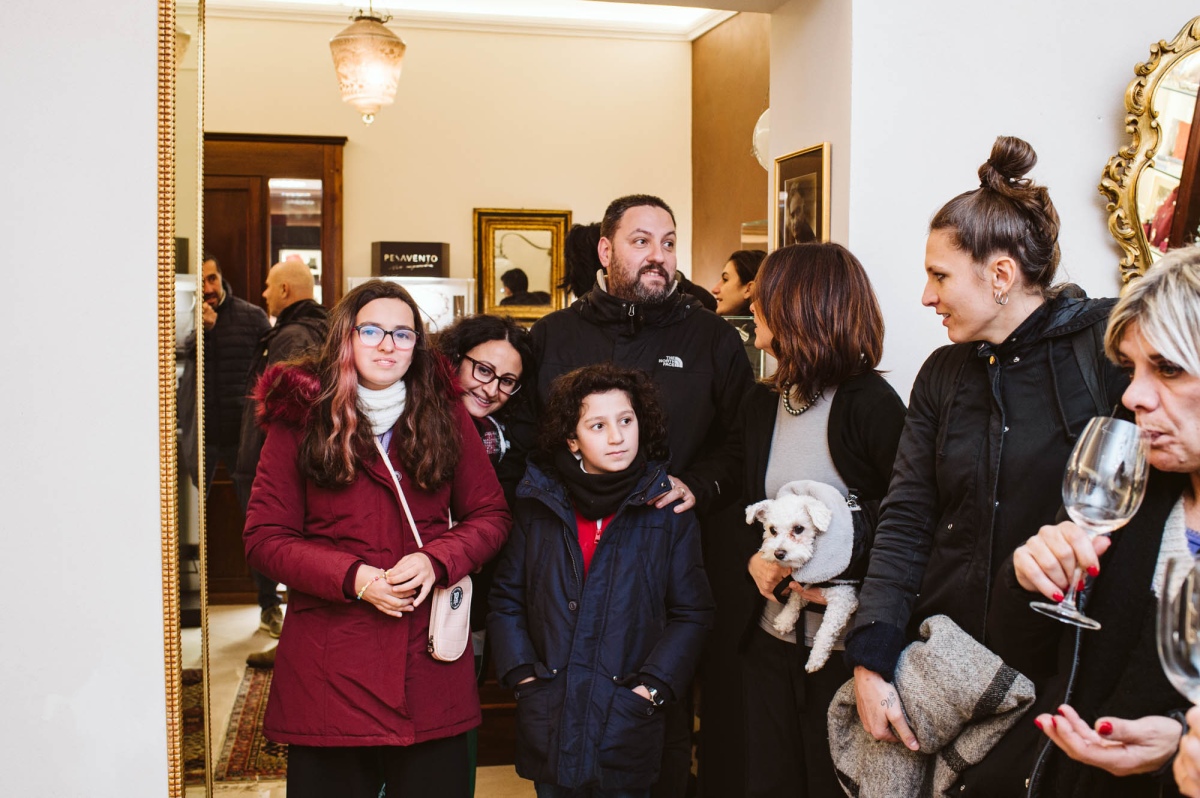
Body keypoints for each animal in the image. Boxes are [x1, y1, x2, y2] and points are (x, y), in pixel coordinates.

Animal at [746, 480, 859, 673]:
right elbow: (795, 597)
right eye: (772, 530)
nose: (779, 553)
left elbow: (827, 629)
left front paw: (816, 658)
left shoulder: (844, 597)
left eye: (799, 529)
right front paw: (785, 619)